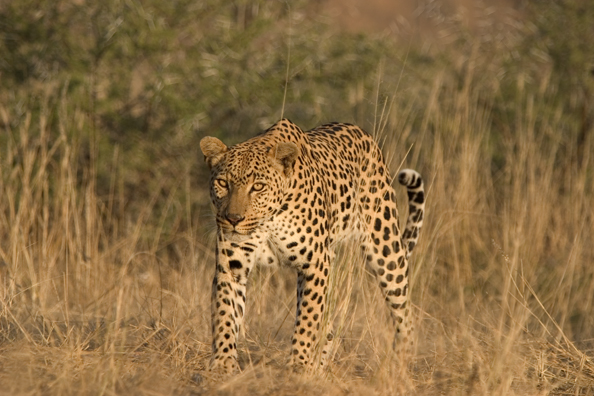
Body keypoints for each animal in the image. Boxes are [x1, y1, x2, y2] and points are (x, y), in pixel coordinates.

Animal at [201, 119, 424, 372]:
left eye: (258, 186)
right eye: (222, 183)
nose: (233, 219)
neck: (268, 220)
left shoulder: (316, 263)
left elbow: (307, 318)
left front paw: (298, 366)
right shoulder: (231, 266)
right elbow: (225, 314)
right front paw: (223, 363)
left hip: (385, 248)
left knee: (403, 310)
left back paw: (402, 360)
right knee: (328, 325)